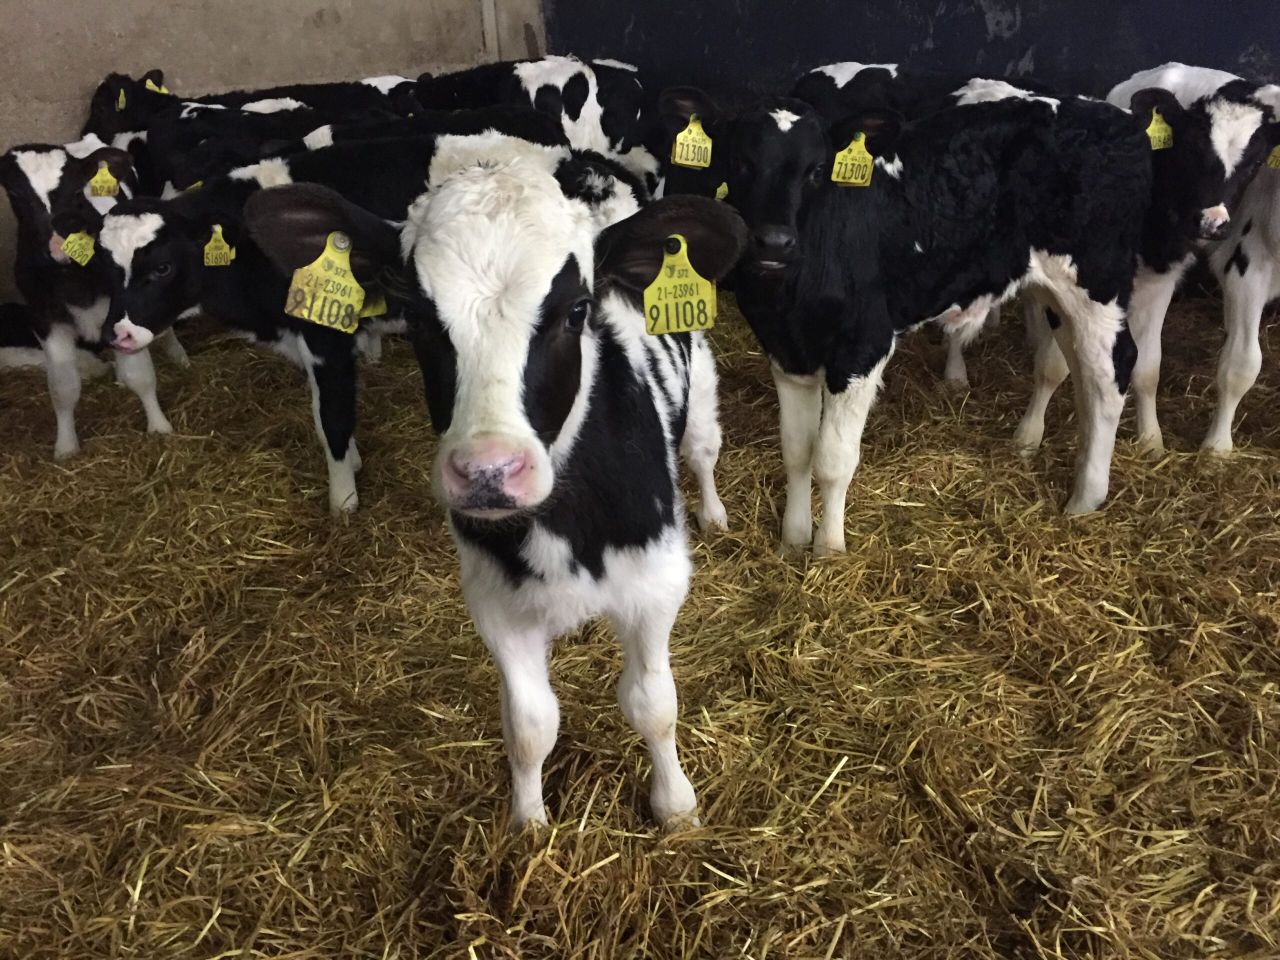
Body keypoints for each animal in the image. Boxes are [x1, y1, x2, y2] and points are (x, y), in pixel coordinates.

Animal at [1, 137, 186, 458]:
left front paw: (159, 427)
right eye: (15, 194)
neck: (73, 278)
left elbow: (142, 376)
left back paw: (178, 355)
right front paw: (66, 447)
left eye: (77, 191)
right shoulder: (45, 321)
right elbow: (63, 388)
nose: (58, 248)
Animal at [242, 163, 744, 828]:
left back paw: (712, 511)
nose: (489, 471)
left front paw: (676, 805)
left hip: (703, 382)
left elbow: (652, 703)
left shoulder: (655, 583)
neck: (562, 527)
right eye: (416, 316)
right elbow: (530, 725)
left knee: (703, 450)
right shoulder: (494, 602)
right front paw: (527, 822)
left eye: (576, 310)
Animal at [662, 89, 1158, 553]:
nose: (775, 241)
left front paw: (829, 548)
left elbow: (832, 460)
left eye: (817, 170)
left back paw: (1086, 496)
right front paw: (792, 539)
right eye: (740, 162)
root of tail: (1114, 117)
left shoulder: (863, 347)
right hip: (1057, 293)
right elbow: (797, 451)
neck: (792, 293)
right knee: (1077, 370)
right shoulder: (787, 352)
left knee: (1112, 371)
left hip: (1098, 282)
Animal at [1015, 63, 1280, 457]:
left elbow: (1149, 365)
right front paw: (1029, 435)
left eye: (1254, 164)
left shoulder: (1160, 279)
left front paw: (1152, 440)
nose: (1213, 223)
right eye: (1192, 151)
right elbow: (1053, 363)